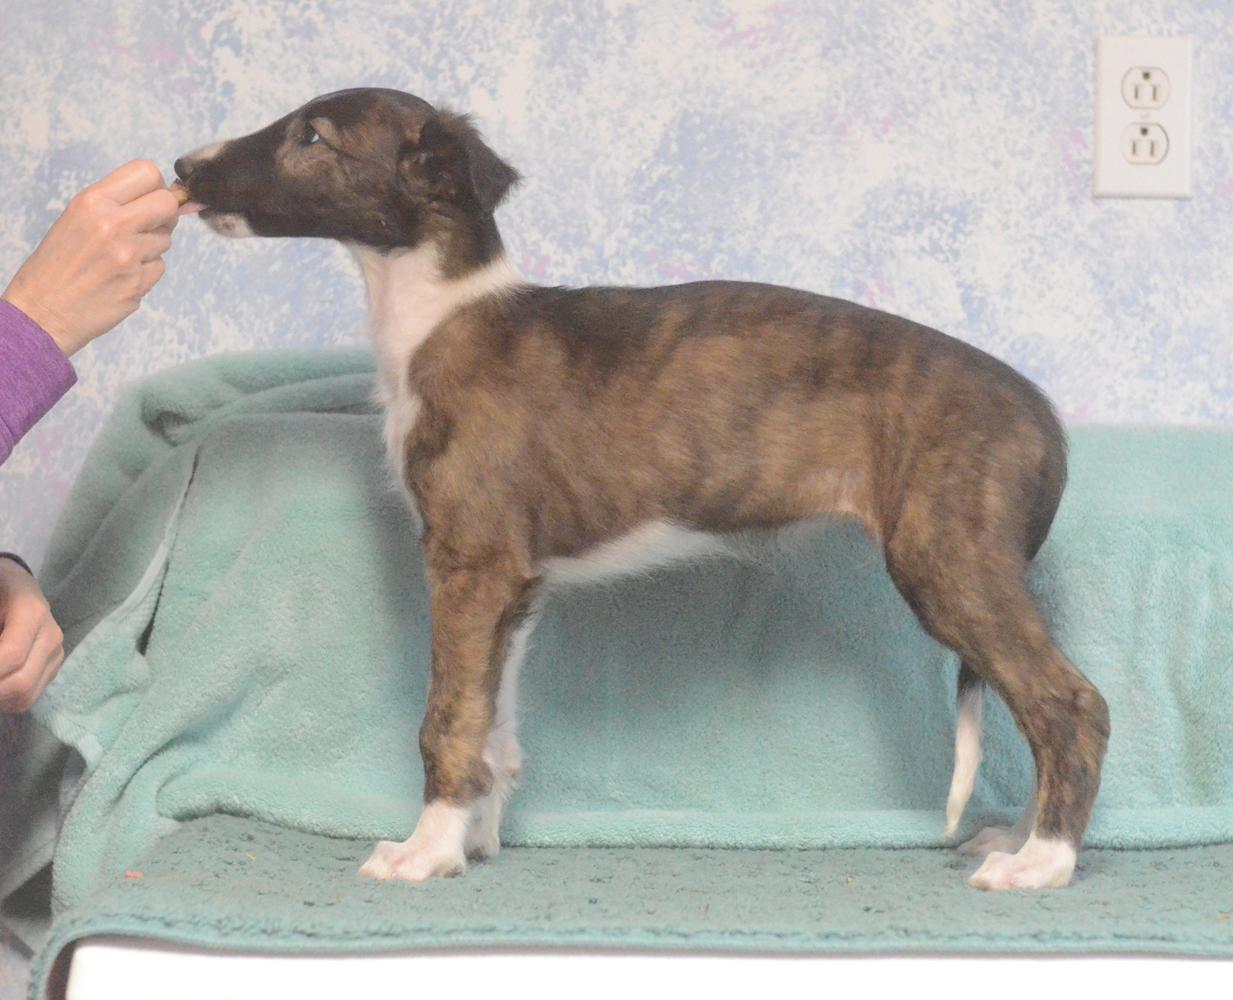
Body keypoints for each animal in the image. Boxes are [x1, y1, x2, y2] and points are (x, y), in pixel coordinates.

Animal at [175, 87, 1109, 890]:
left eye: (312, 135)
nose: (184, 165)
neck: (445, 312)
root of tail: (1040, 415)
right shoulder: (515, 580)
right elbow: (494, 728)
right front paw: (474, 842)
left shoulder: (467, 562)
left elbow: (447, 718)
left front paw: (425, 850)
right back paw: (1020, 837)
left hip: (946, 561)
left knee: (1068, 703)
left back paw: (1042, 861)